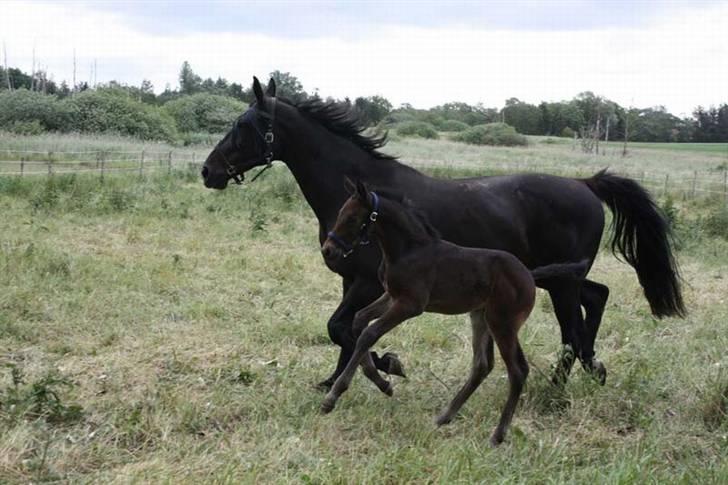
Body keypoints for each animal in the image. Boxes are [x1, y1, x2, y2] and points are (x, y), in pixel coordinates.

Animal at [202, 78, 684, 390]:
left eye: (243, 126)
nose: (208, 171)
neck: (366, 195)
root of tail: (585, 184)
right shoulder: (351, 281)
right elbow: (342, 329)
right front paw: (336, 380)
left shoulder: (367, 282)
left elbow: (342, 328)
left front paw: (388, 367)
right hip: (555, 277)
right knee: (597, 298)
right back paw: (591, 369)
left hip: (561, 283)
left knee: (573, 328)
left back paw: (557, 389)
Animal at [322, 180, 588, 444]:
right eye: (341, 213)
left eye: (351, 218)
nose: (328, 250)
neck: (407, 250)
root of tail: (529, 276)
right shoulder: (391, 297)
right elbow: (360, 321)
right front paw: (383, 382)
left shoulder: (410, 304)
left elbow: (370, 333)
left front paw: (333, 396)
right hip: (481, 317)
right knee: (482, 364)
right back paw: (445, 416)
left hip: (503, 323)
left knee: (518, 370)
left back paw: (497, 435)